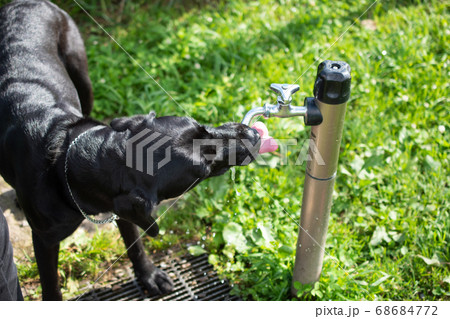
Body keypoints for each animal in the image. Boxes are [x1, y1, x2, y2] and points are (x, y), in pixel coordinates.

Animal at [0, 0, 260, 302]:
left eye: (201, 126)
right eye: (203, 169)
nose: (253, 135)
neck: (67, 159)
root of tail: (25, 2)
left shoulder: (121, 209)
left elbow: (134, 243)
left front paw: (148, 276)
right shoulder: (44, 241)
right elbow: (51, 285)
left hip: (82, 79)